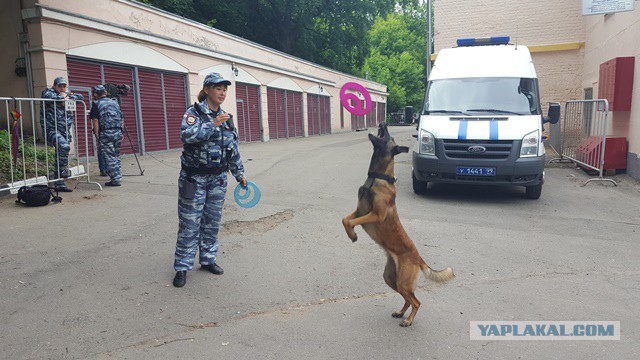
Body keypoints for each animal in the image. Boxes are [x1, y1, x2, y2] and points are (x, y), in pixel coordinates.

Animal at [342, 123, 452, 326]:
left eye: (388, 137)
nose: (383, 123)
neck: (377, 177)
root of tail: (419, 259)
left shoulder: (375, 215)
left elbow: (351, 221)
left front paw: (353, 235)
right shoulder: (360, 211)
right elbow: (345, 219)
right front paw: (352, 234)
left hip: (402, 281)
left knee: (416, 301)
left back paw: (408, 321)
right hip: (392, 279)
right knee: (409, 298)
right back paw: (401, 313)